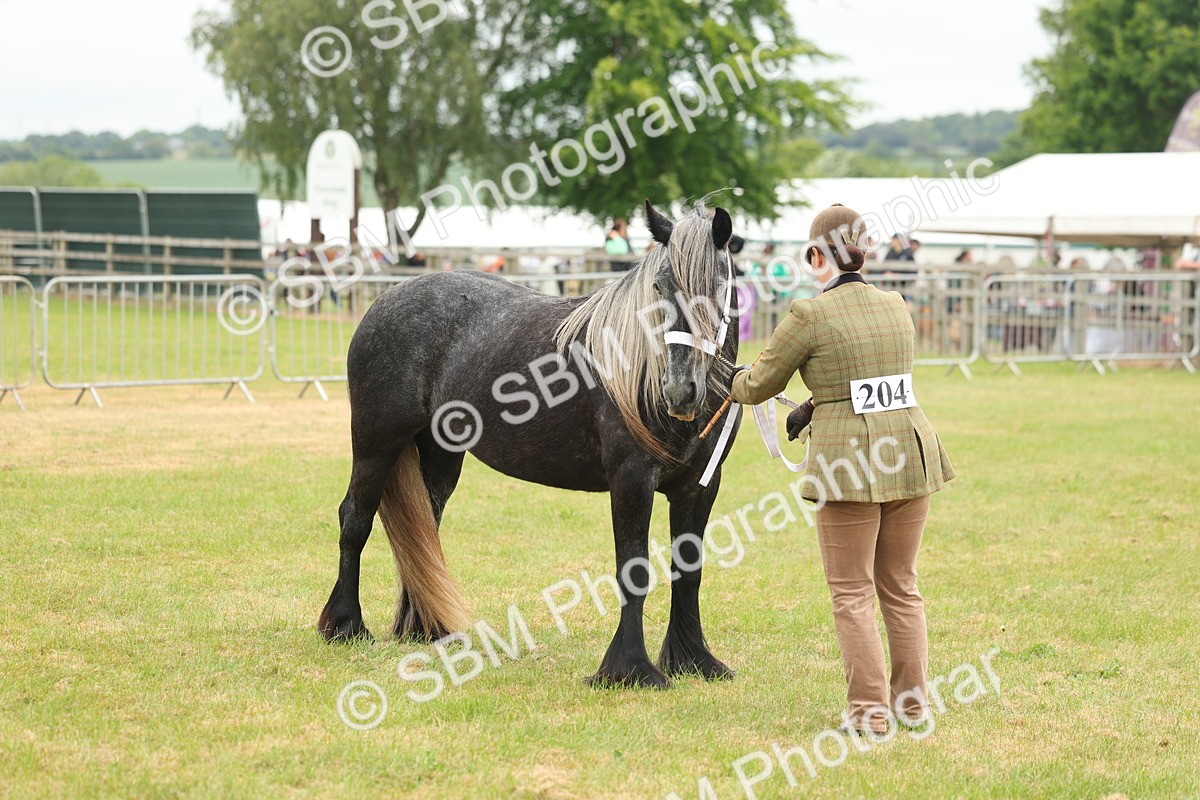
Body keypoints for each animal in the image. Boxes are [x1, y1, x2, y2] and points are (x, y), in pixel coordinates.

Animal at [317, 199, 742, 688]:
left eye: (718, 287)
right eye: (658, 285)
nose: (678, 391)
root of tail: (385, 300)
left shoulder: (700, 487)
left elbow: (688, 571)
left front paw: (694, 660)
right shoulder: (631, 482)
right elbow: (633, 570)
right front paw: (629, 670)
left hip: (440, 456)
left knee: (423, 530)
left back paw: (425, 629)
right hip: (376, 445)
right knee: (355, 519)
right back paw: (346, 626)